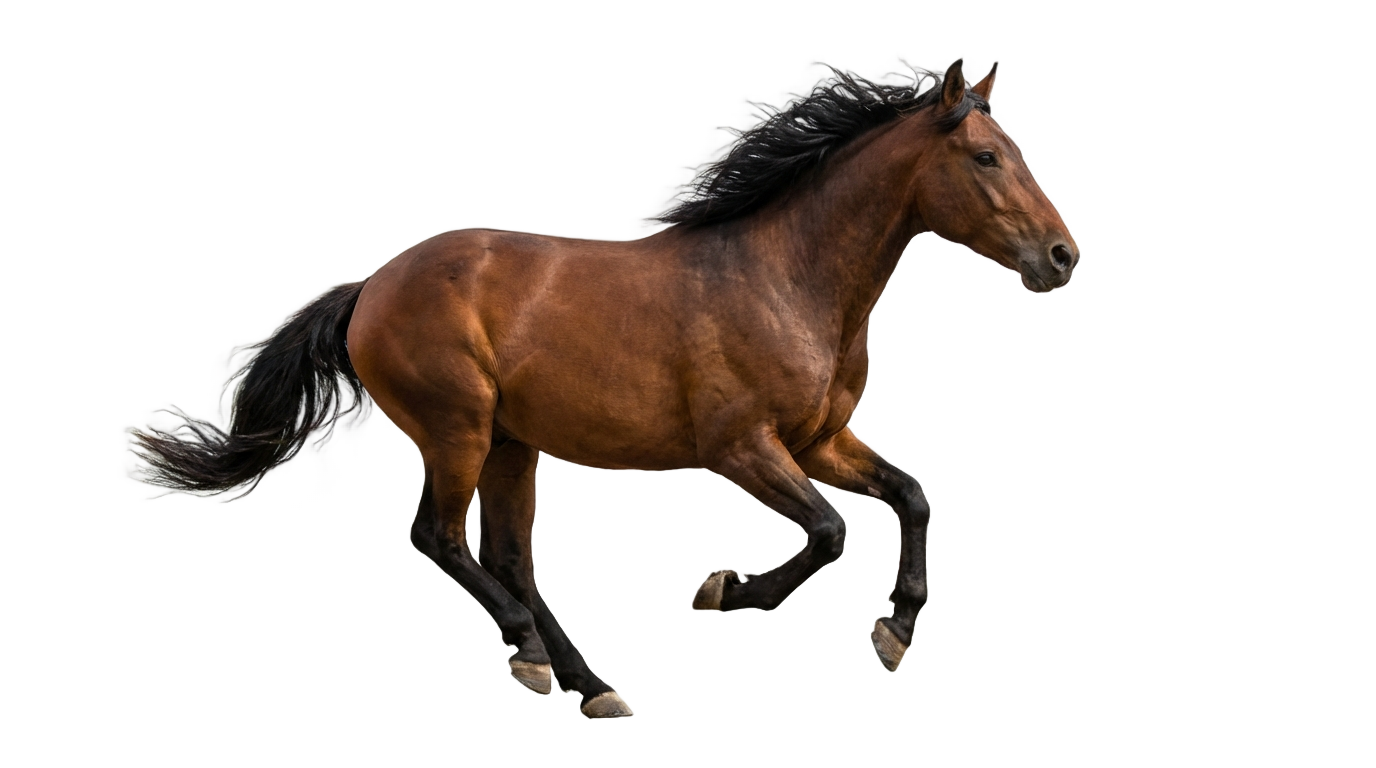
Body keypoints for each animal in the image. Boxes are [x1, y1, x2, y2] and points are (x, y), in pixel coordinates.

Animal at [134, 58, 1078, 718]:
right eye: (987, 156)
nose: (1062, 257)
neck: (783, 278)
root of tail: (370, 287)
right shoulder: (743, 448)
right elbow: (826, 534)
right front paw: (725, 595)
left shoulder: (820, 440)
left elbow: (911, 498)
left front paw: (897, 632)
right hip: (458, 431)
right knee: (439, 541)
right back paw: (529, 659)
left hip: (511, 446)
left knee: (507, 557)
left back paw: (593, 690)